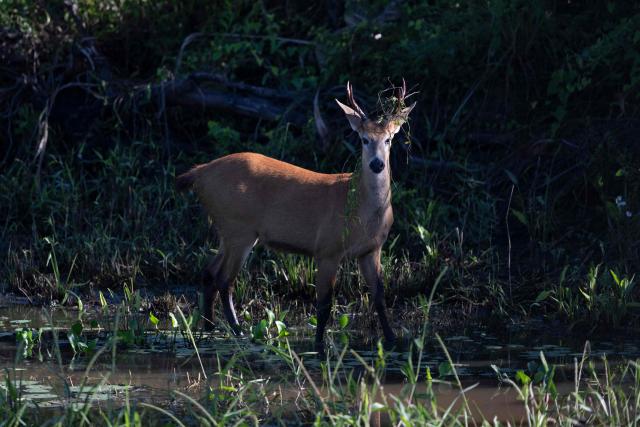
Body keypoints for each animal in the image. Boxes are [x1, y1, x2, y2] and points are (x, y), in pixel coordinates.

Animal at [176, 81, 416, 351]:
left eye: (388, 139)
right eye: (364, 140)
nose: (377, 164)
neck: (362, 214)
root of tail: (200, 173)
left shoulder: (371, 250)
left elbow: (380, 298)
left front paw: (393, 341)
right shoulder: (327, 249)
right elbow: (324, 304)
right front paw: (319, 345)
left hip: (229, 230)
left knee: (209, 273)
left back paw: (209, 330)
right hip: (238, 227)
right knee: (224, 279)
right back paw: (239, 332)